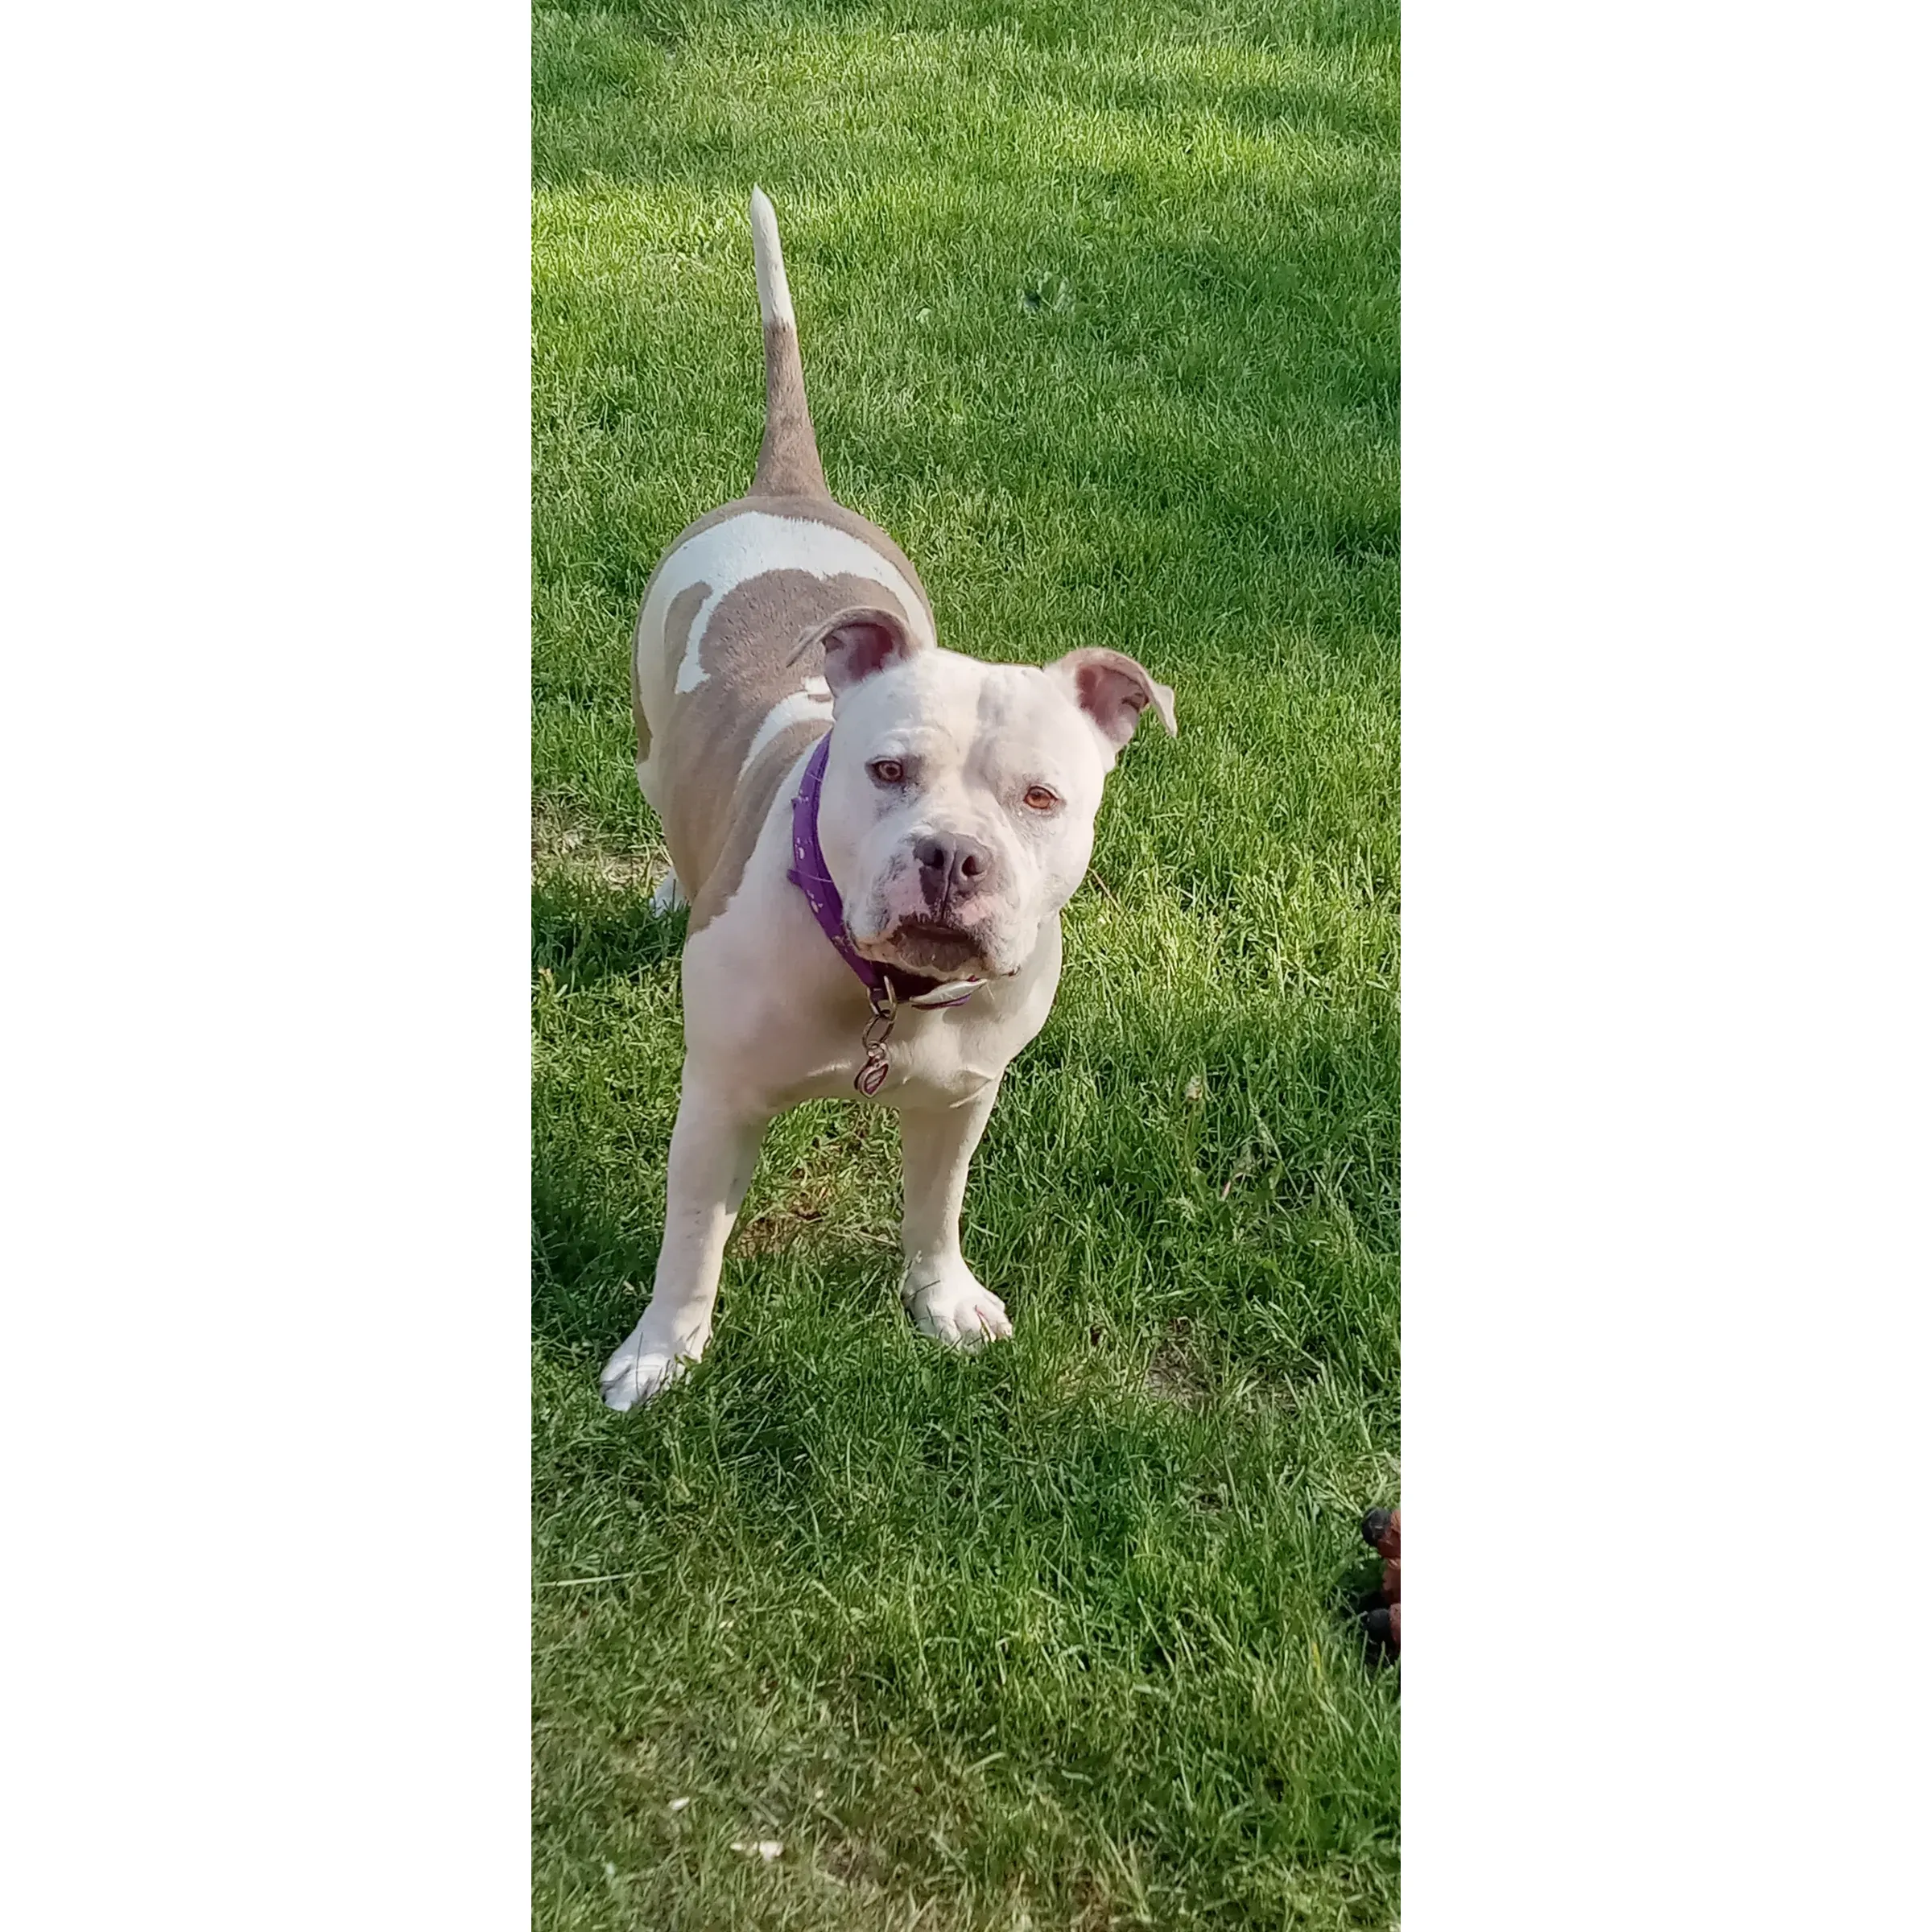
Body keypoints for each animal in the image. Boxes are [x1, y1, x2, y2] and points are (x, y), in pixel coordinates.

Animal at [602, 192, 1174, 1406]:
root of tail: (787, 488)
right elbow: (692, 1243)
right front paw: (660, 1355)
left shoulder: (961, 1100)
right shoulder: (715, 1103)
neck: (886, 991)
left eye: (1042, 798)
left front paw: (941, 1301)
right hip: (647, 735)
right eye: (888, 772)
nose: (953, 856)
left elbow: (934, 1212)